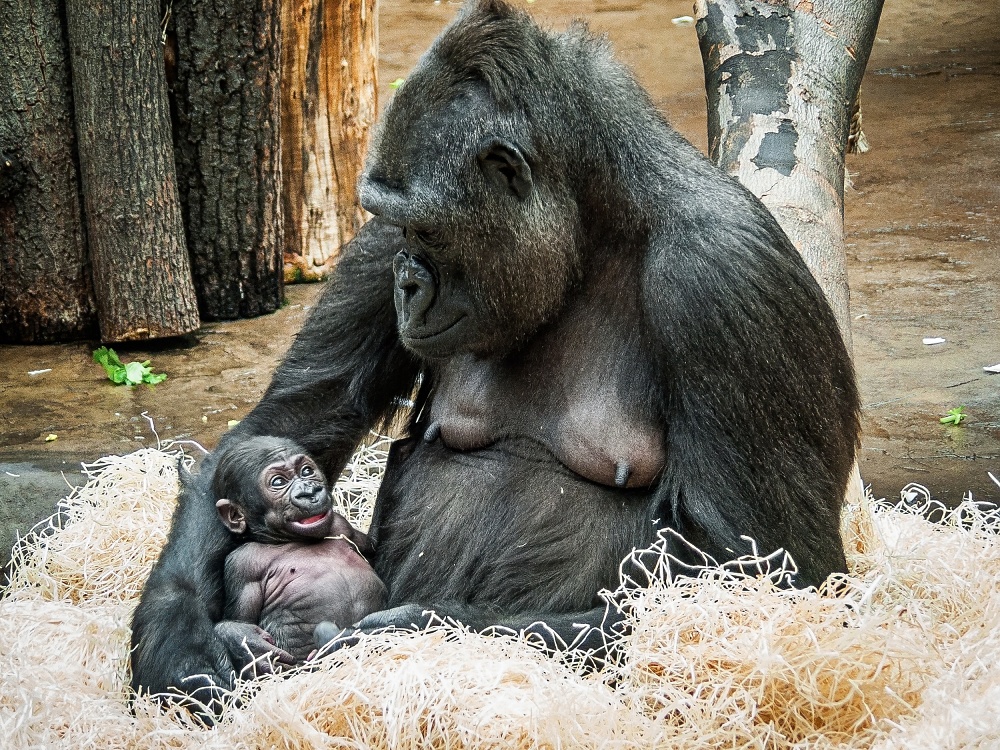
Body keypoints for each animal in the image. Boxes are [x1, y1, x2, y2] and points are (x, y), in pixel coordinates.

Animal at [211, 438, 386, 668]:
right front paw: (243, 639)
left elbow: (370, 547)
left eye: (306, 471)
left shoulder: (342, 525)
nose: (309, 492)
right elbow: (243, 618)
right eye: (278, 482)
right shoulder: (242, 564)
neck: (290, 538)